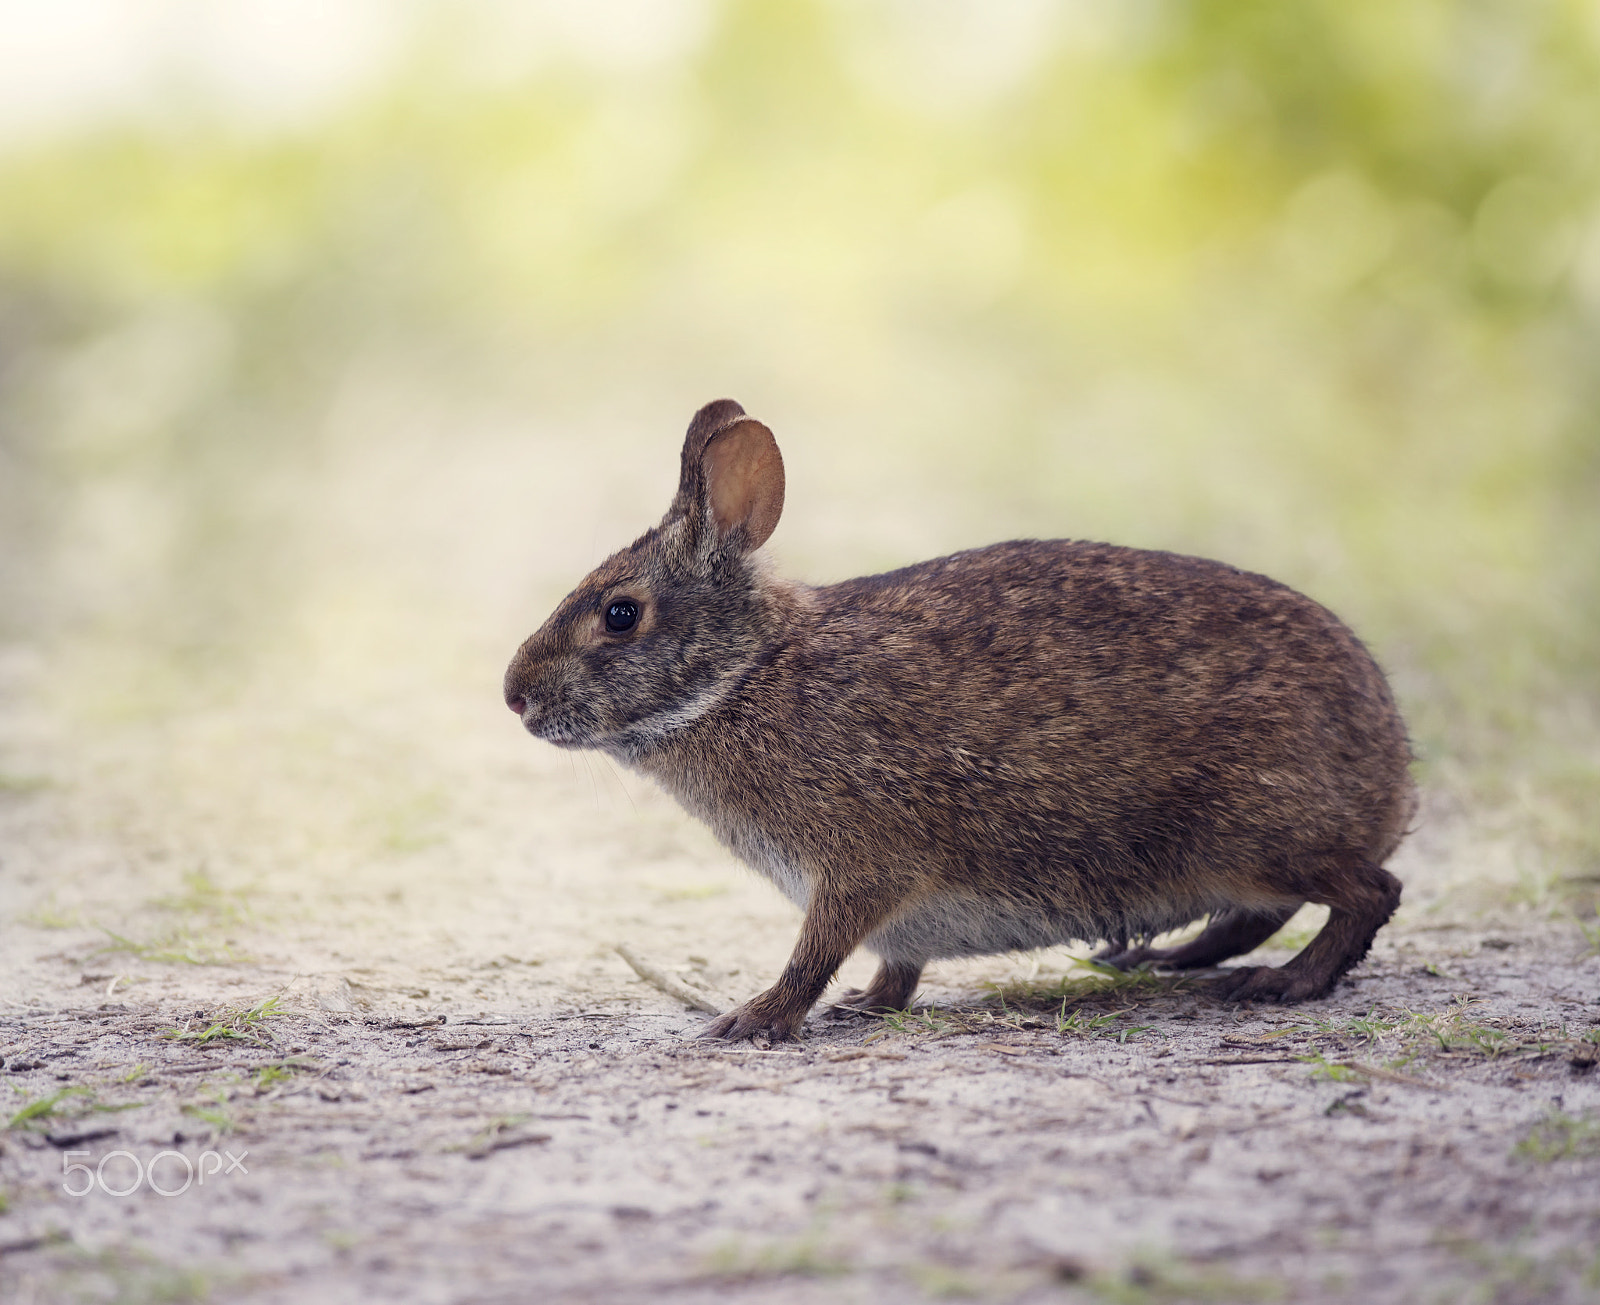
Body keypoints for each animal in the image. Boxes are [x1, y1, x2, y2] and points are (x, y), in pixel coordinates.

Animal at [499, 398, 1414, 1042]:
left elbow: (816, 950)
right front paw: (869, 1006)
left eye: (620, 615)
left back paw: (1281, 981)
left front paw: (755, 1018)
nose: (514, 695)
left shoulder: (859, 863)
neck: (745, 674)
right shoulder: (892, 905)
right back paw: (1162, 955)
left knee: (1369, 891)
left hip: (1252, 831)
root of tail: (1394, 769)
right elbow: (894, 961)